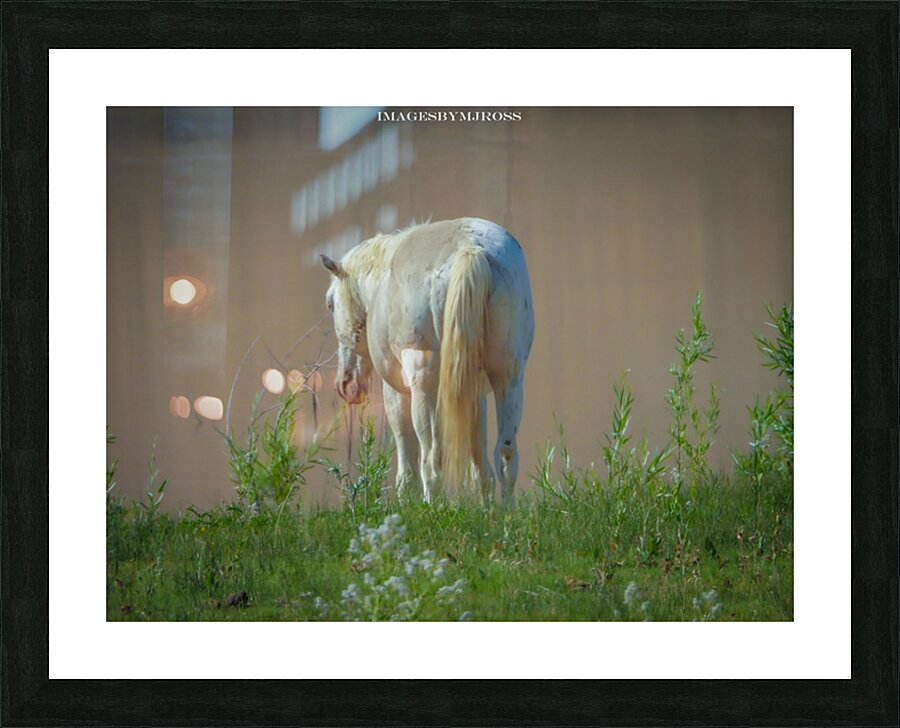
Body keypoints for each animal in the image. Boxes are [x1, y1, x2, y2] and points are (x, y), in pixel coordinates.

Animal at [321, 217, 535, 504]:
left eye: (330, 304)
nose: (345, 385)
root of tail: (470, 249)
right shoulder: (475, 394)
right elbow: (479, 462)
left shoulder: (397, 394)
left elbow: (407, 461)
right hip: (508, 377)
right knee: (505, 453)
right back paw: (504, 511)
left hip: (424, 388)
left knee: (432, 459)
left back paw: (431, 506)